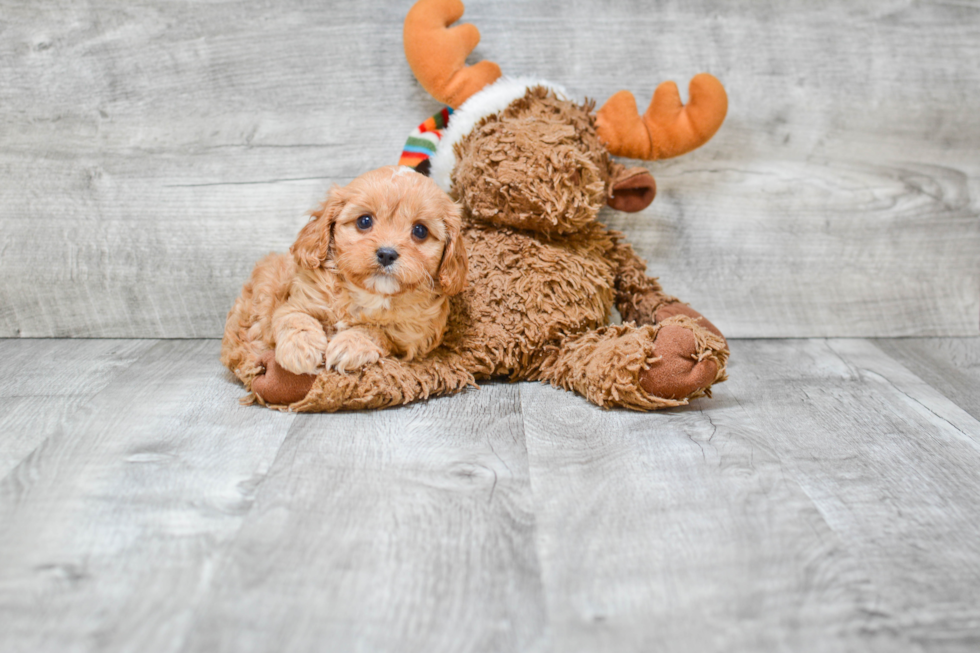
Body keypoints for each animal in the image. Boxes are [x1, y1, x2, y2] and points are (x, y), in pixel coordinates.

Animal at [224, 164, 468, 388]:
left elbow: (377, 331)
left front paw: (349, 345)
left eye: (420, 231)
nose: (386, 254)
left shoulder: (412, 337)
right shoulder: (298, 300)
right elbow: (295, 318)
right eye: (364, 221)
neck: (368, 293)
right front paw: (301, 348)